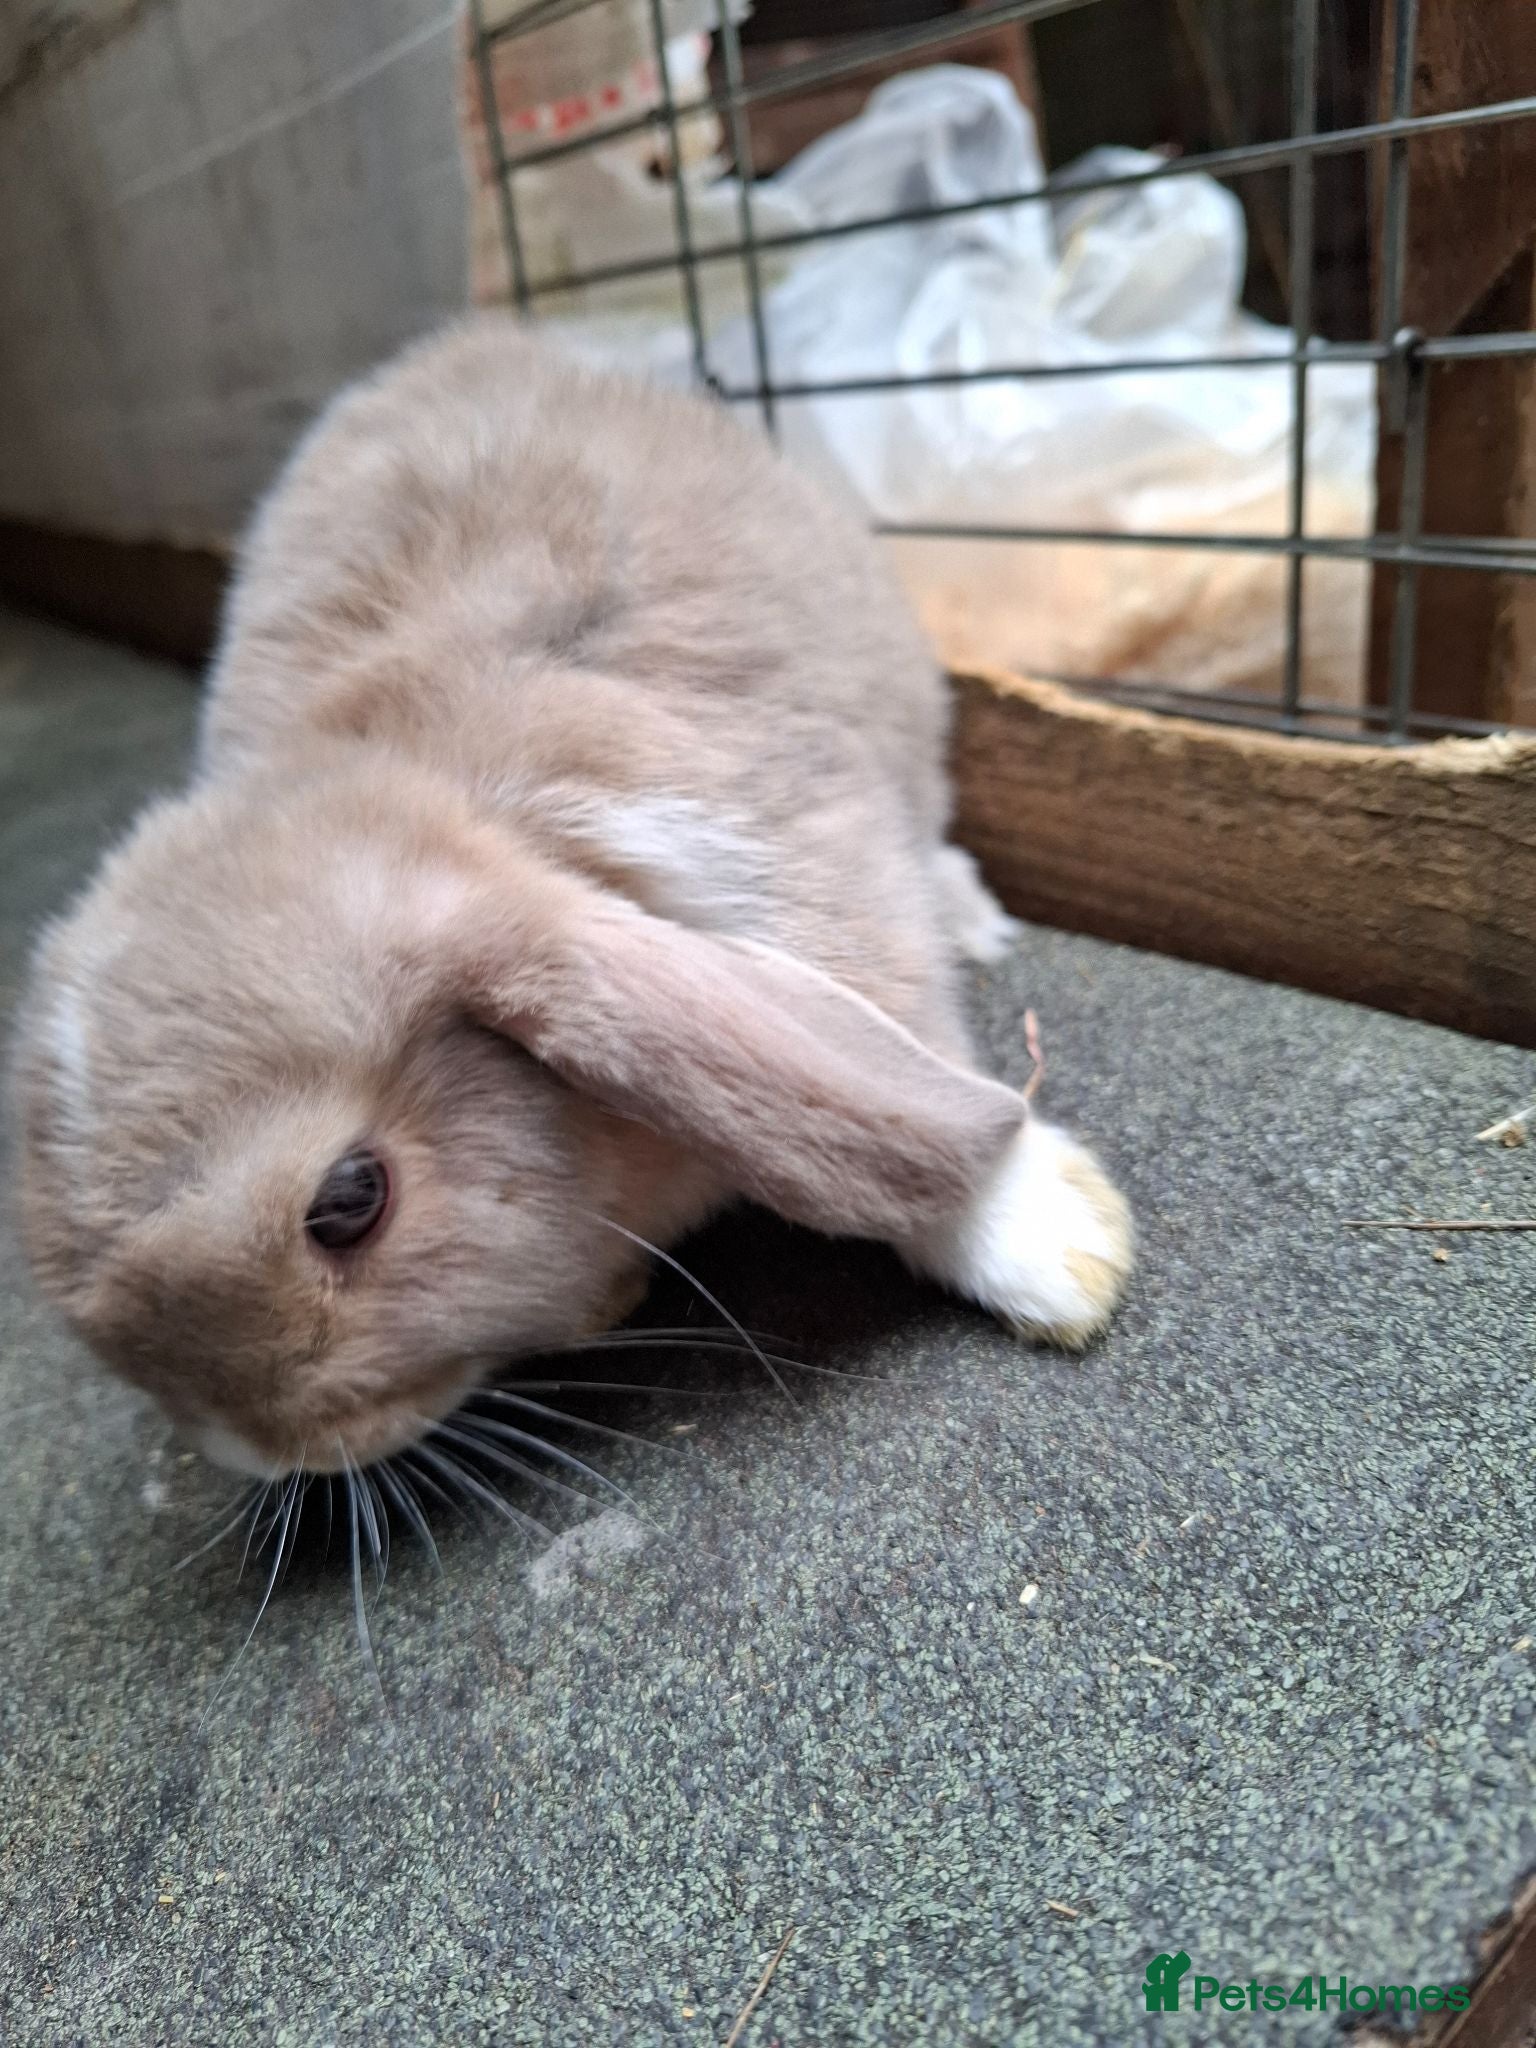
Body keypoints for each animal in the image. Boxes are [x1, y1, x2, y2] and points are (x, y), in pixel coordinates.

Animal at [11, 316, 1131, 1481]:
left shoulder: (810, 882)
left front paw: (1061, 1250)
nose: (259, 1454)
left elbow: (917, 1096)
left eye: (352, 1201)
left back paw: (975, 917)